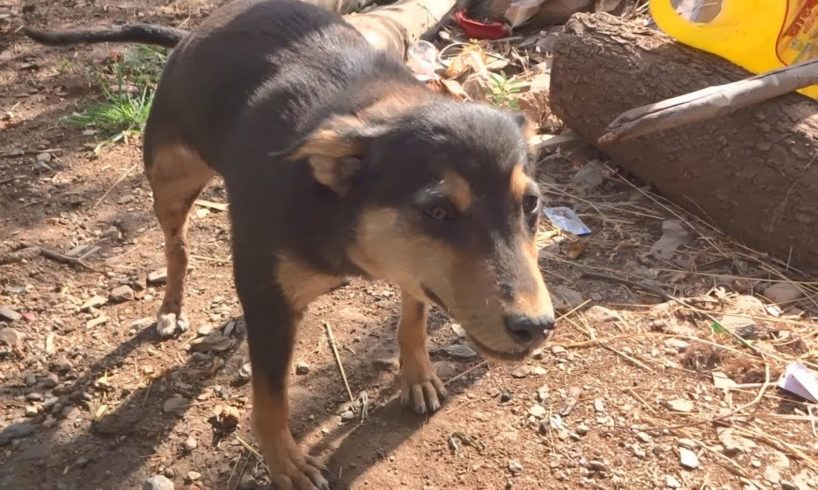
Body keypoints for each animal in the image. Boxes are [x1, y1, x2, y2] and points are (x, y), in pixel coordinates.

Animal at [22, 1, 556, 488]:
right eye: (439, 211)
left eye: (531, 204)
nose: (536, 327)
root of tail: (191, 35)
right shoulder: (270, 301)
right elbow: (270, 397)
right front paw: (285, 464)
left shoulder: (415, 269)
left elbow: (414, 316)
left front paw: (417, 374)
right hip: (170, 180)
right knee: (177, 248)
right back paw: (170, 307)